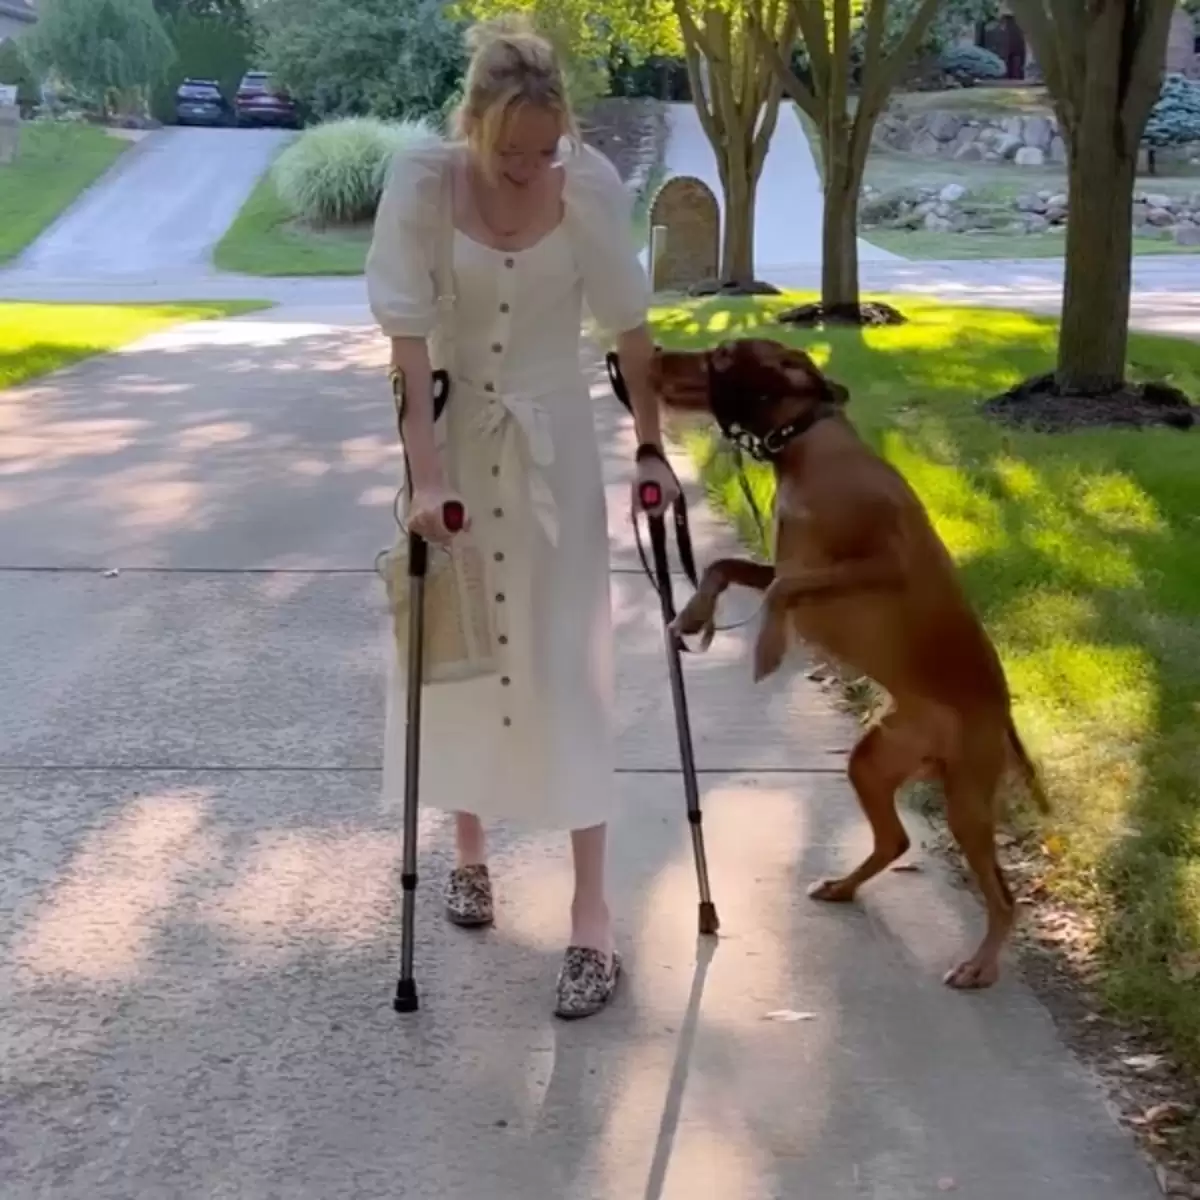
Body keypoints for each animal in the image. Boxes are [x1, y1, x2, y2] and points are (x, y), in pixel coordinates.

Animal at [652, 340, 1046, 993]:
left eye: (723, 355)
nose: (654, 350)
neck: (809, 448)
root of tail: (1005, 717)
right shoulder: (787, 560)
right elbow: (726, 568)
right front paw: (693, 614)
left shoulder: (879, 565)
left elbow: (778, 589)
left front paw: (767, 647)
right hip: (873, 762)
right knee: (896, 839)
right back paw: (843, 885)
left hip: (967, 801)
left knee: (1003, 895)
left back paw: (980, 963)